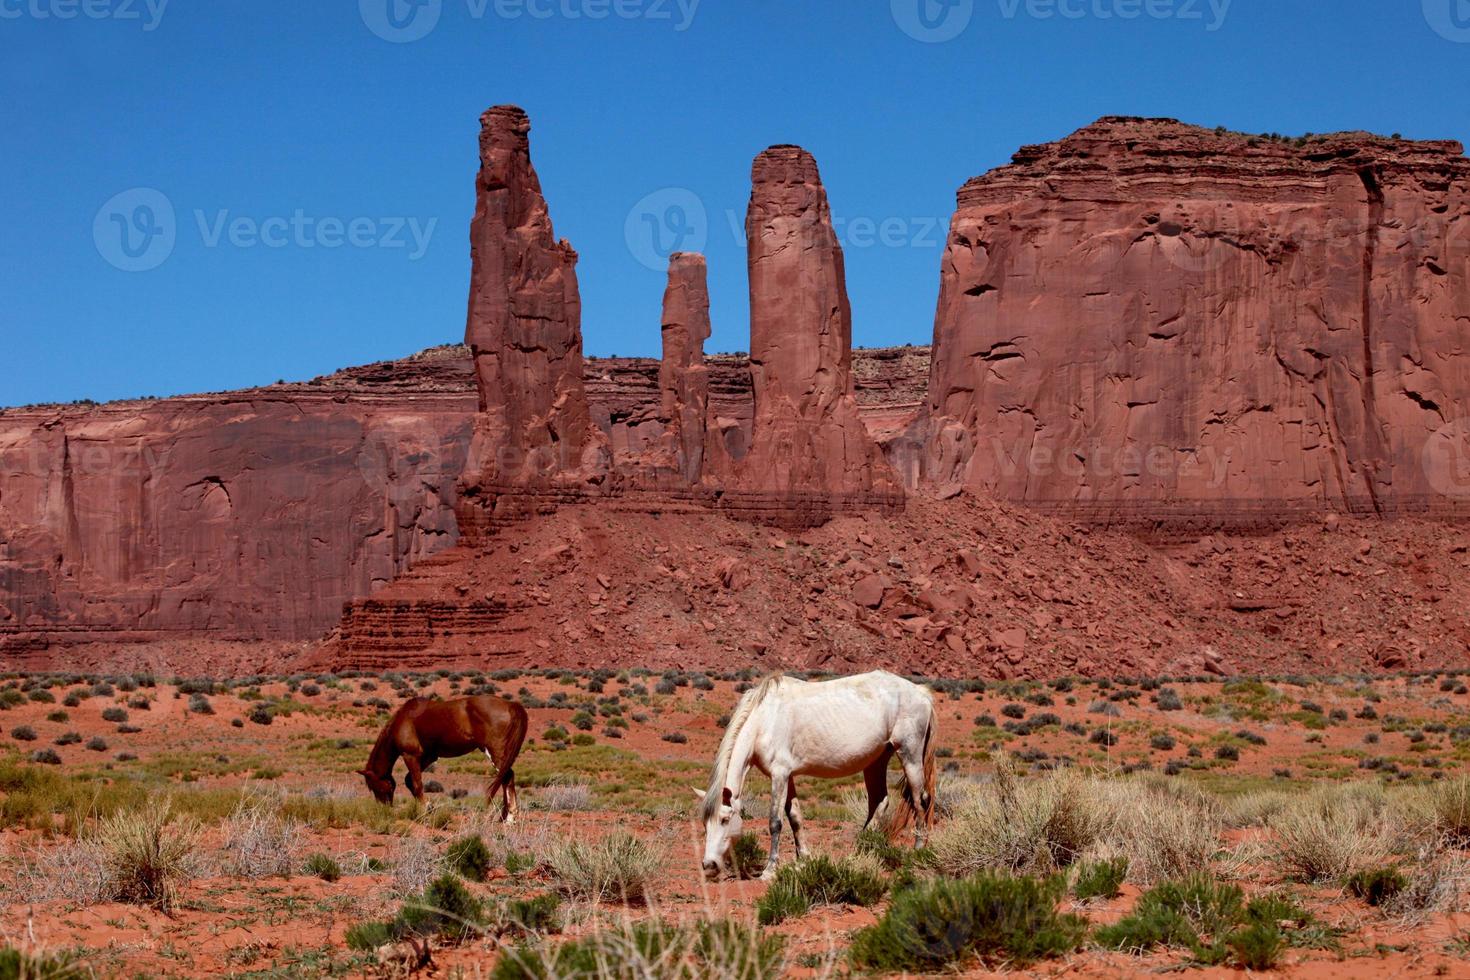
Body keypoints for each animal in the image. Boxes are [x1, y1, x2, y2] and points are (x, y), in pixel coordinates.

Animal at [357, 693, 529, 822]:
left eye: (375, 787)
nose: (384, 809)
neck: (404, 720)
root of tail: (510, 704)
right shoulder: (428, 756)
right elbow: (409, 781)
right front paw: (428, 808)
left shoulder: (410, 755)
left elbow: (416, 784)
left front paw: (423, 811)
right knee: (507, 778)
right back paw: (505, 817)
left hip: (495, 753)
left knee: (506, 777)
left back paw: (509, 818)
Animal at [696, 675, 934, 881]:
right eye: (705, 823)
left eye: (725, 819)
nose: (709, 865)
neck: (765, 720)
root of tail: (920, 692)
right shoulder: (789, 777)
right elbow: (795, 818)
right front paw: (804, 860)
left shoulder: (779, 775)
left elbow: (775, 822)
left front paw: (770, 871)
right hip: (876, 762)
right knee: (880, 802)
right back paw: (860, 850)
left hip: (909, 755)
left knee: (919, 800)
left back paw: (917, 849)